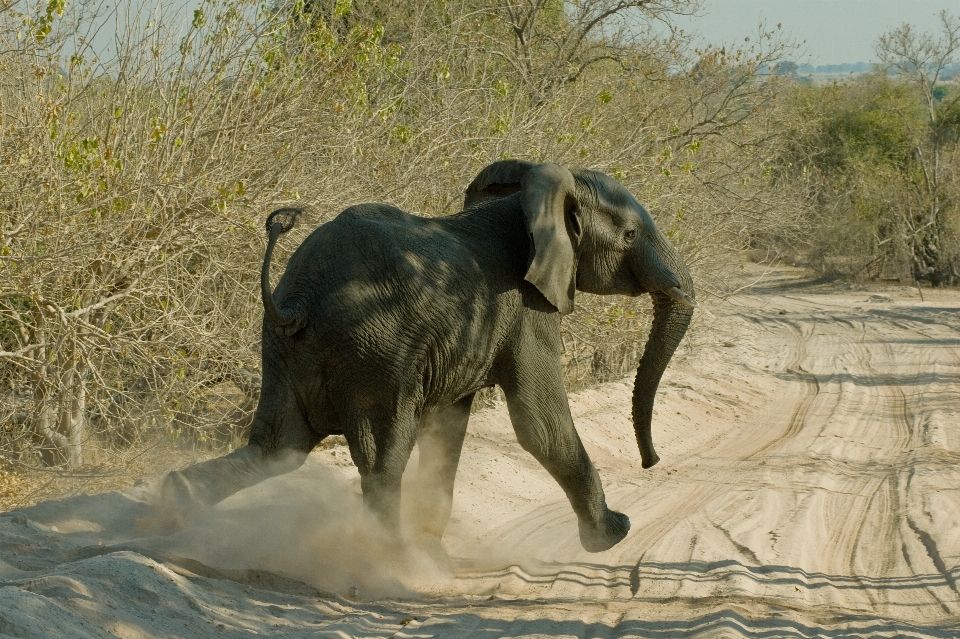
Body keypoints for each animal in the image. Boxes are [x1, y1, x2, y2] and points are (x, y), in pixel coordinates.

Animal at [159, 160, 696, 556]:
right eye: (630, 236)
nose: (651, 461)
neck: (533, 197)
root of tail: (299, 298)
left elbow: (449, 427)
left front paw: (434, 549)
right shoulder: (528, 306)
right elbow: (540, 425)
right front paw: (615, 534)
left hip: (284, 348)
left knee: (277, 446)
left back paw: (173, 507)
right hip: (375, 351)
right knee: (383, 456)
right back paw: (391, 559)